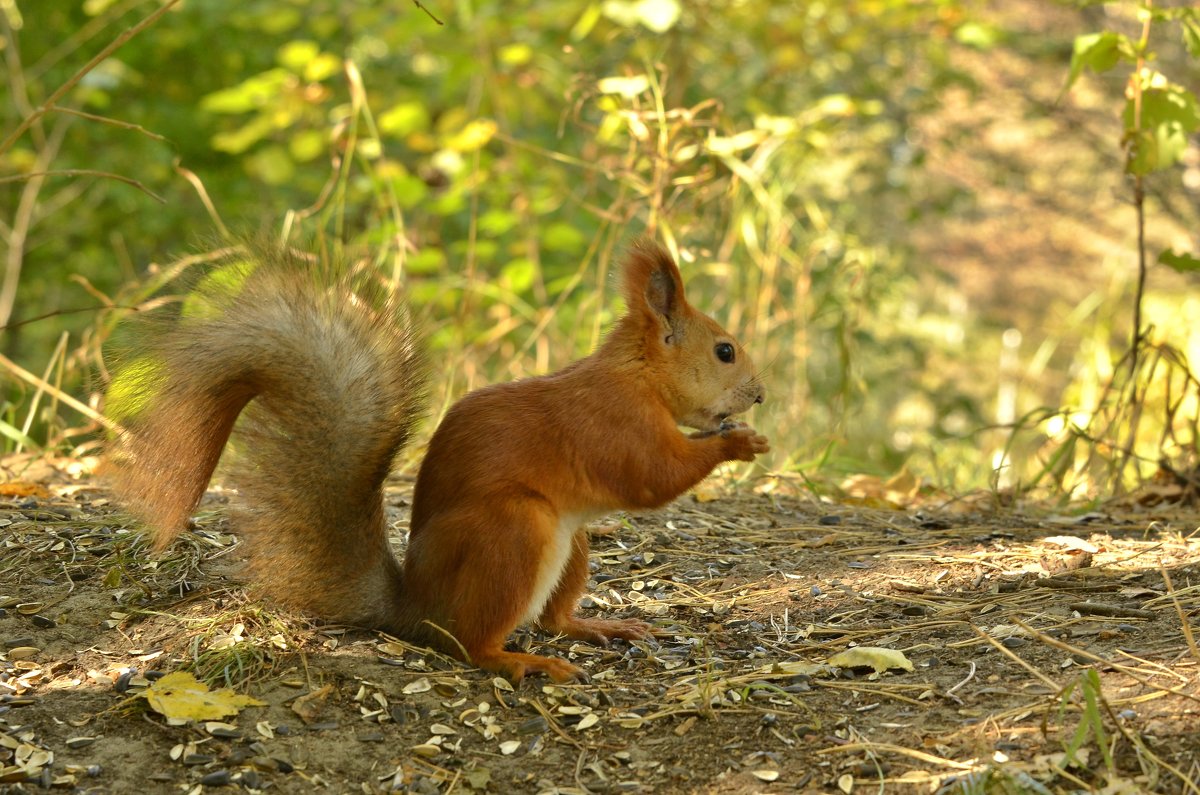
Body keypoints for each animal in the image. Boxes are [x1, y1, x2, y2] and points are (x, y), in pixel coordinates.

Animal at [112, 240, 768, 682]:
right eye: (724, 351)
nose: (760, 395)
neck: (640, 378)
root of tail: (416, 609)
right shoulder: (614, 424)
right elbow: (652, 480)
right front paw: (739, 444)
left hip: (569, 541)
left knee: (551, 619)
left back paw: (598, 626)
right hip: (515, 532)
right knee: (470, 645)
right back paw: (525, 662)